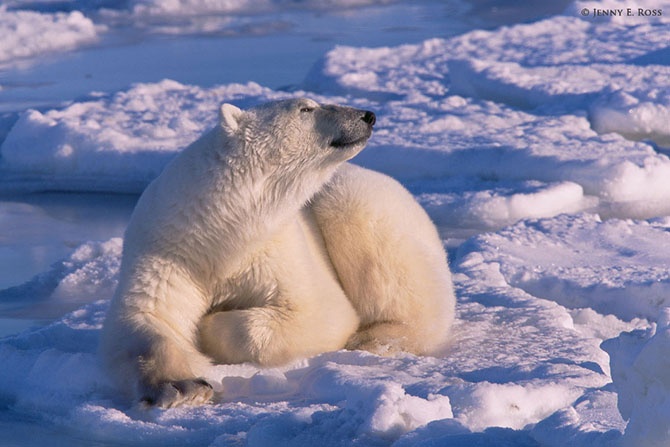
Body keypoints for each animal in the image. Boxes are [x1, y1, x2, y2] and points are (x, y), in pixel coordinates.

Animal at [100, 98, 456, 410]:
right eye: (306, 108)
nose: (367, 115)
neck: (219, 233)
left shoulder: (278, 248)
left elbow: (320, 311)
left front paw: (208, 326)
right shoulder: (168, 250)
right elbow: (147, 319)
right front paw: (182, 387)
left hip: (358, 202)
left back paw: (373, 338)